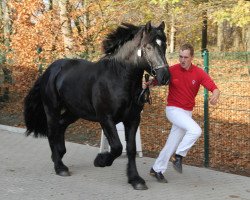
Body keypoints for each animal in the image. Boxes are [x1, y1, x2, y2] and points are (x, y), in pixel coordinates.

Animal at [23, 21, 170, 190]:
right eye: (148, 47)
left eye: (164, 45)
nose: (165, 77)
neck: (118, 77)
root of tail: (50, 70)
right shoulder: (105, 118)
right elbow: (117, 147)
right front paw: (101, 160)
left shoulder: (133, 119)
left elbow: (131, 149)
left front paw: (135, 179)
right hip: (52, 109)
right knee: (52, 131)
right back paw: (59, 166)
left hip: (74, 112)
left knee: (61, 125)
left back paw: (59, 154)